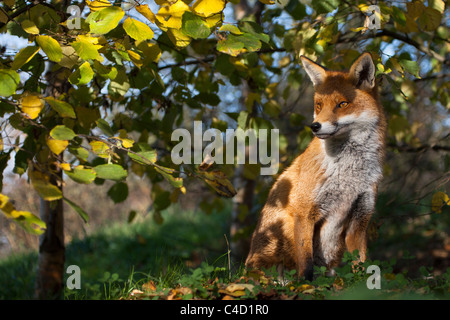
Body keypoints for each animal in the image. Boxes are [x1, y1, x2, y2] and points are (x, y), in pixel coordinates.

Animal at [246, 52, 386, 280]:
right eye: (319, 105)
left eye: (342, 104)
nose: (314, 126)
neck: (348, 173)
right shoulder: (304, 213)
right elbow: (306, 263)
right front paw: (305, 285)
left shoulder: (359, 220)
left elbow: (361, 264)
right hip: (281, 230)